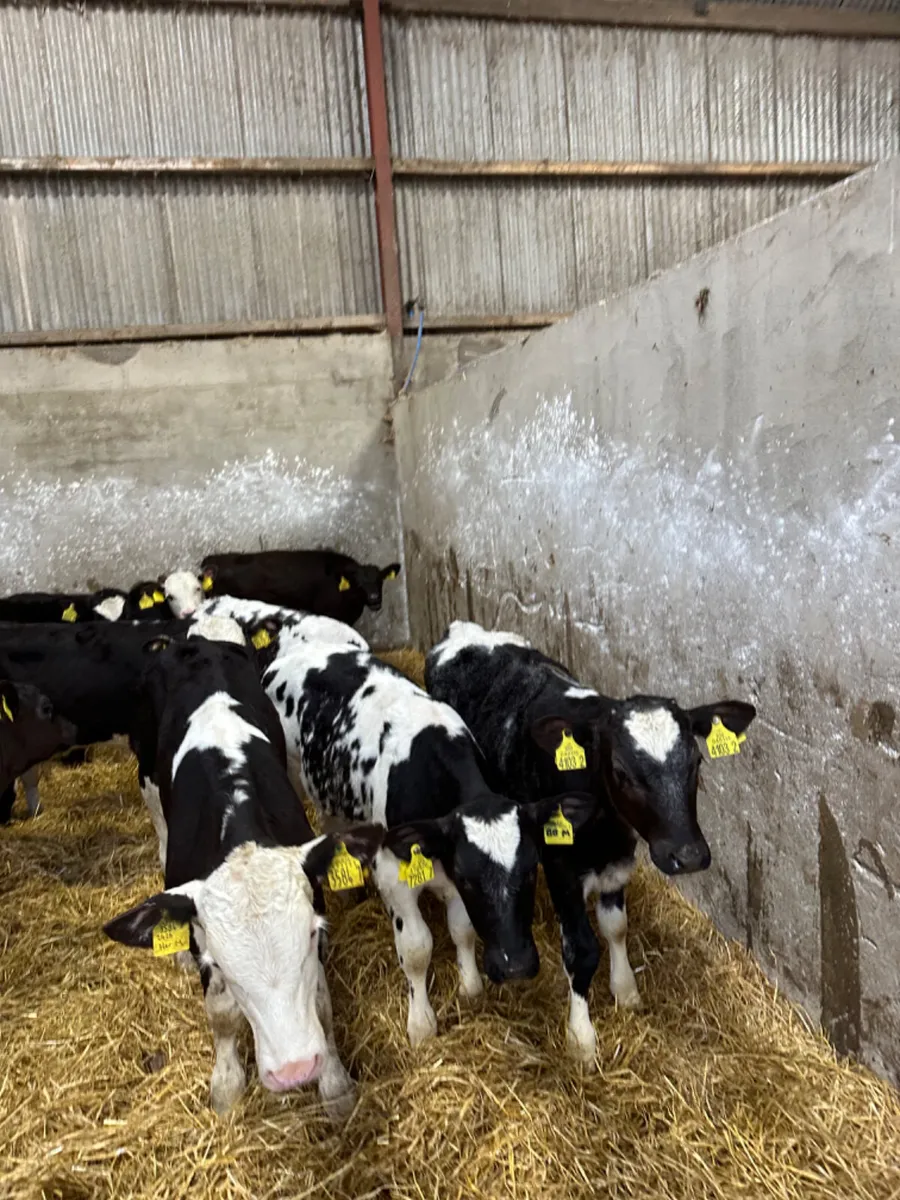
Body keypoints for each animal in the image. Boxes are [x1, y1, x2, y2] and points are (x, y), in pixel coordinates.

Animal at [104, 633, 383, 1117]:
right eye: (217, 961)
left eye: (313, 934)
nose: (294, 1070)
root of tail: (194, 642)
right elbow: (221, 1013)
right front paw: (227, 1085)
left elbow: (321, 1005)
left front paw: (334, 1085)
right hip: (147, 780)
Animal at [242, 620, 595, 1046]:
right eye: (470, 879)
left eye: (530, 871)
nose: (516, 966)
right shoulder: (394, 875)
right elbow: (416, 948)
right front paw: (421, 1023)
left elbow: (462, 930)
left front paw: (470, 986)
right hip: (293, 772)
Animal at [425, 620, 757, 1064]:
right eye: (621, 770)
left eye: (697, 762)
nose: (687, 855)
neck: (604, 829)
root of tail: (464, 629)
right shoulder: (561, 869)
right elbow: (581, 950)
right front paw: (581, 1037)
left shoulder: (618, 862)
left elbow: (616, 927)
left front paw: (626, 990)